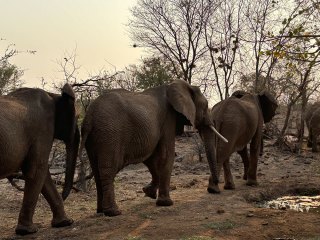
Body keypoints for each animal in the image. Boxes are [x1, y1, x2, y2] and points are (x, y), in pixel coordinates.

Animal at [0, 83, 79, 235]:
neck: (53, 95)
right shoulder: (42, 129)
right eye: (77, 117)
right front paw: (27, 231)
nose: (64, 195)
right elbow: (37, 169)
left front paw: (65, 223)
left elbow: (43, 174)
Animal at [78, 79, 226, 217]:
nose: (215, 189)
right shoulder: (168, 119)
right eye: (206, 106)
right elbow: (166, 155)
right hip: (110, 134)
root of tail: (89, 116)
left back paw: (100, 211)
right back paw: (113, 212)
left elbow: (151, 158)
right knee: (108, 170)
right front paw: (166, 203)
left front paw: (149, 193)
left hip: (95, 137)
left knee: (96, 171)